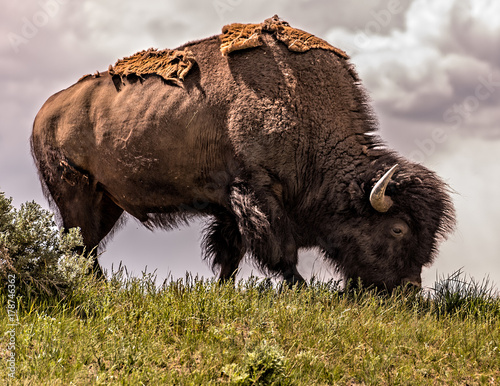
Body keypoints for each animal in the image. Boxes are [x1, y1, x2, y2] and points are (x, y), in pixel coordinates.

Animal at [30, 16, 454, 292]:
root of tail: (45, 113)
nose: (409, 290)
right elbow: (279, 250)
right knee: (82, 245)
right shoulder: (256, 192)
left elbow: (230, 253)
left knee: (86, 248)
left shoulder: (228, 203)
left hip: (107, 202)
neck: (301, 103)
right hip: (76, 194)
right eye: (398, 228)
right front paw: (303, 292)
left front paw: (223, 291)